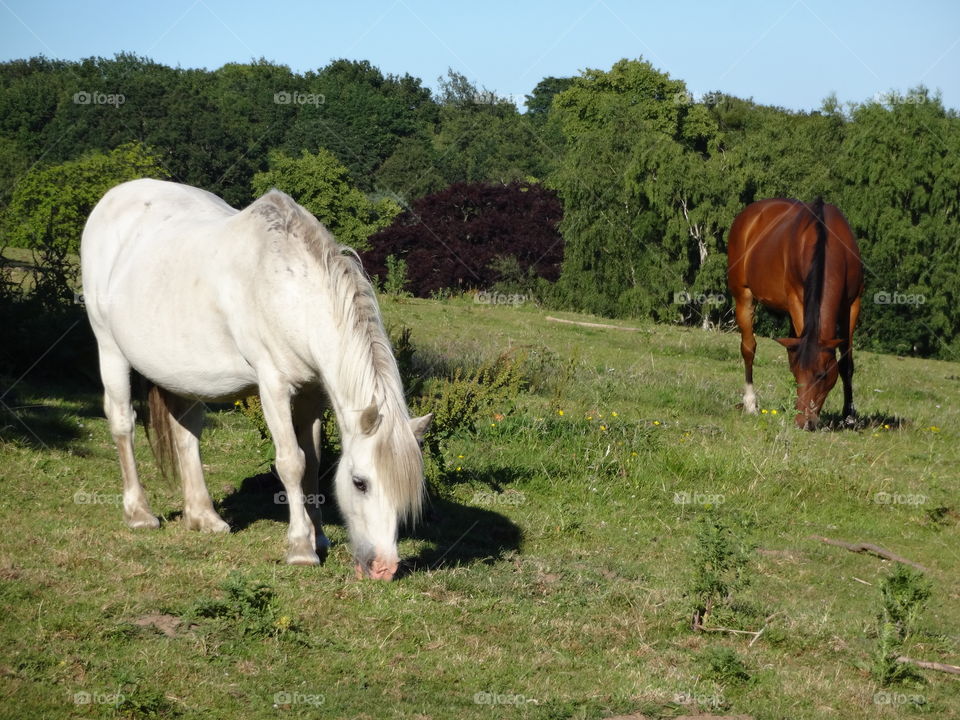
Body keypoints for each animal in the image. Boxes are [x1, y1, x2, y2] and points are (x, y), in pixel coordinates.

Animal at [81, 179, 431, 580]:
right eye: (360, 483)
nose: (383, 568)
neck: (290, 290)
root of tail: (114, 197)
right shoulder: (274, 387)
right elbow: (292, 462)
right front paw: (301, 548)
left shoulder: (312, 393)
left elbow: (312, 463)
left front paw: (319, 537)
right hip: (110, 349)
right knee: (123, 423)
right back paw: (139, 513)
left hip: (184, 375)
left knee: (187, 432)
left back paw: (204, 517)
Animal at [726, 197, 864, 430]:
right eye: (796, 373)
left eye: (822, 375)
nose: (803, 422)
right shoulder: (797, 299)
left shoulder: (852, 305)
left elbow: (846, 362)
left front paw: (849, 415)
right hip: (743, 295)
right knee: (748, 348)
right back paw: (751, 403)